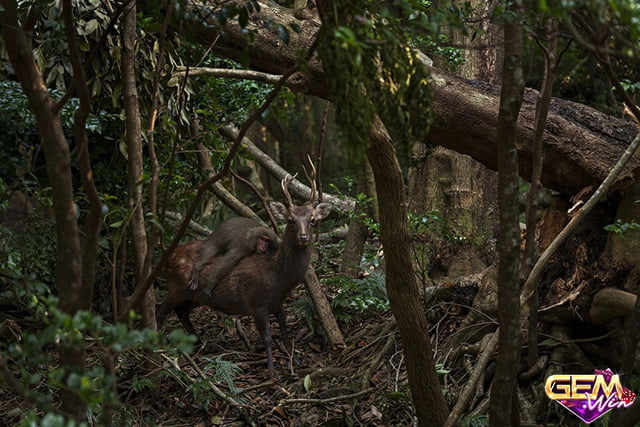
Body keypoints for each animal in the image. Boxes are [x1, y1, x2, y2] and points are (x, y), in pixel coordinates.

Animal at [158, 174, 332, 378]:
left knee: (182, 311)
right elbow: (267, 338)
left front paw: (294, 360)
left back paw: (198, 343)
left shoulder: (277, 302)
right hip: (175, 288)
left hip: (194, 296)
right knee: (160, 312)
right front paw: (272, 373)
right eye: (290, 220)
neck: (279, 279)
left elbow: (284, 328)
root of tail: (168, 257)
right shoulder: (256, 303)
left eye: (312, 220)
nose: (304, 236)